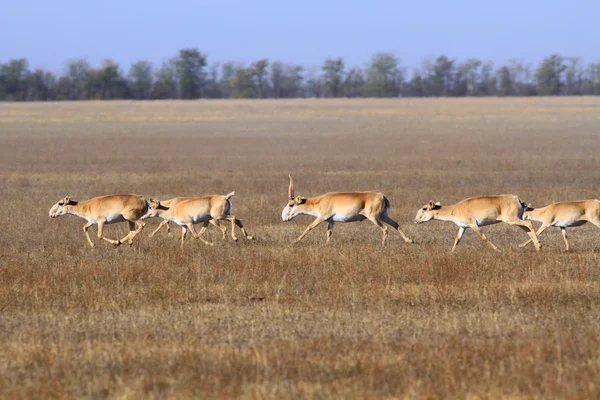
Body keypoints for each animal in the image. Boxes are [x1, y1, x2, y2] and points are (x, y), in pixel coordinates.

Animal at [280, 176, 412, 245]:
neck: (320, 201)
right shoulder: (331, 221)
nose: (284, 217)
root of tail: (382, 196)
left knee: (385, 228)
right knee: (396, 224)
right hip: (384, 215)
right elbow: (329, 233)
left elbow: (309, 226)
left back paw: (382, 245)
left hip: (374, 217)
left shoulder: (321, 217)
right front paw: (326, 245)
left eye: (291, 204)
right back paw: (409, 240)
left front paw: (295, 240)